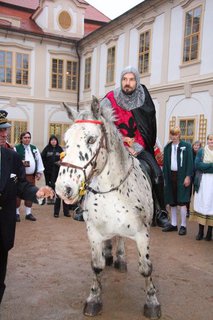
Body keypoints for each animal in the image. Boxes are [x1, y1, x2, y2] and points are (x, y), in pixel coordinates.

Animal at [55, 96, 161, 318]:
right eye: (66, 141)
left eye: (91, 140)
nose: (63, 188)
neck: (112, 189)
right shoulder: (94, 232)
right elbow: (97, 266)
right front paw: (94, 298)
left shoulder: (142, 233)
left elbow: (146, 268)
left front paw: (152, 302)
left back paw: (120, 259)